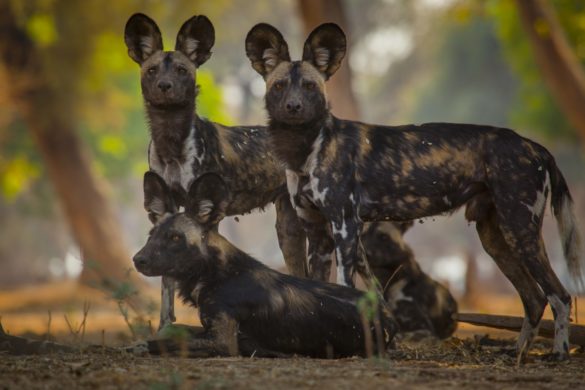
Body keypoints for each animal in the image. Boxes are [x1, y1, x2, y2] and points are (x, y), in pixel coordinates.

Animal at [124, 12, 456, 338]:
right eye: (152, 71)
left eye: (182, 70)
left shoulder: (205, 215)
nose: (165, 86)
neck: (172, 142)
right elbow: (166, 281)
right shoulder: (170, 209)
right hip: (292, 230)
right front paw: (164, 327)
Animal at [133, 172, 392, 358]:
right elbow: (171, 330)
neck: (216, 273)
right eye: (151, 235)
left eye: (175, 238)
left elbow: (163, 342)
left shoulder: (222, 342)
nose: (138, 259)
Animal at [246, 22, 584, 360]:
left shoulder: (344, 226)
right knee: (534, 298)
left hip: (520, 230)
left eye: (309, 86)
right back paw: (518, 352)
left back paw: (559, 352)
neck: (307, 146)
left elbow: (345, 286)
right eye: (279, 86)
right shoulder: (318, 232)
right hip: (495, 238)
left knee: (560, 294)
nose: (293, 107)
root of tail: (534, 146)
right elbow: (322, 289)